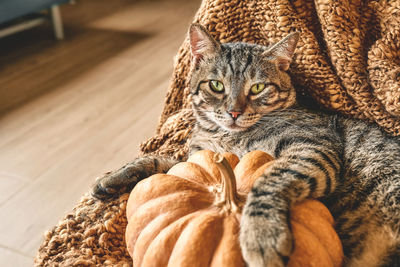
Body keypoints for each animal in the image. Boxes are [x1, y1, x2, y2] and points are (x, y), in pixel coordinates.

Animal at [94, 24, 400, 266]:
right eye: (216, 85)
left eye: (257, 88)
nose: (234, 112)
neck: (222, 136)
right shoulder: (198, 158)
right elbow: (161, 159)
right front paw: (112, 177)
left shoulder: (311, 148)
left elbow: (267, 181)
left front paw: (261, 236)